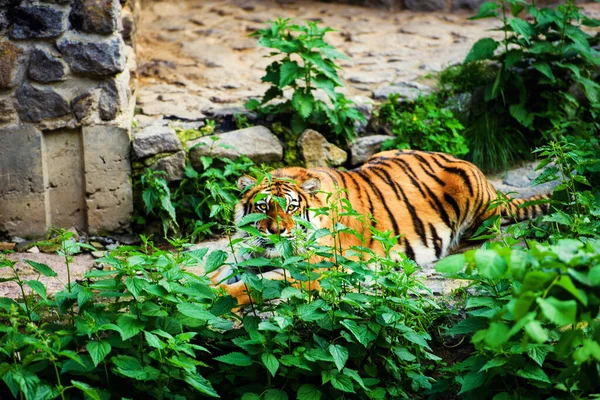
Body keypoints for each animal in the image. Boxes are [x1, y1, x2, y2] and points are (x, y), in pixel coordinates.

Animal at [209, 149, 552, 304]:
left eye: (291, 208)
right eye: (263, 207)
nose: (277, 232)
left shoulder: (312, 269)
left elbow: (250, 286)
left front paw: (214, 297)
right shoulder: (245, 253)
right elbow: (215, 272)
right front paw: (201, 284)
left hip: (472, 199)